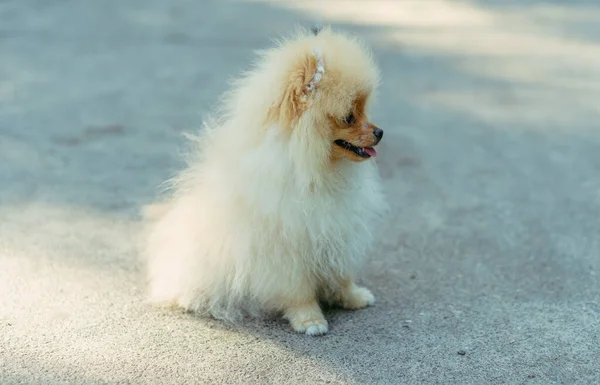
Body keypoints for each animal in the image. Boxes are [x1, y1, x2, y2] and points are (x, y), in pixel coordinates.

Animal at [146, 25, 390, 334]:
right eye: (348, 116)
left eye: (365, 108)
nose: (380, 132)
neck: (315, 170)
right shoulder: (285, 246)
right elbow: (299, 290)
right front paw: (310, 319)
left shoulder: (337, 230)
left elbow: (340, 273)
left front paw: (353, 296)